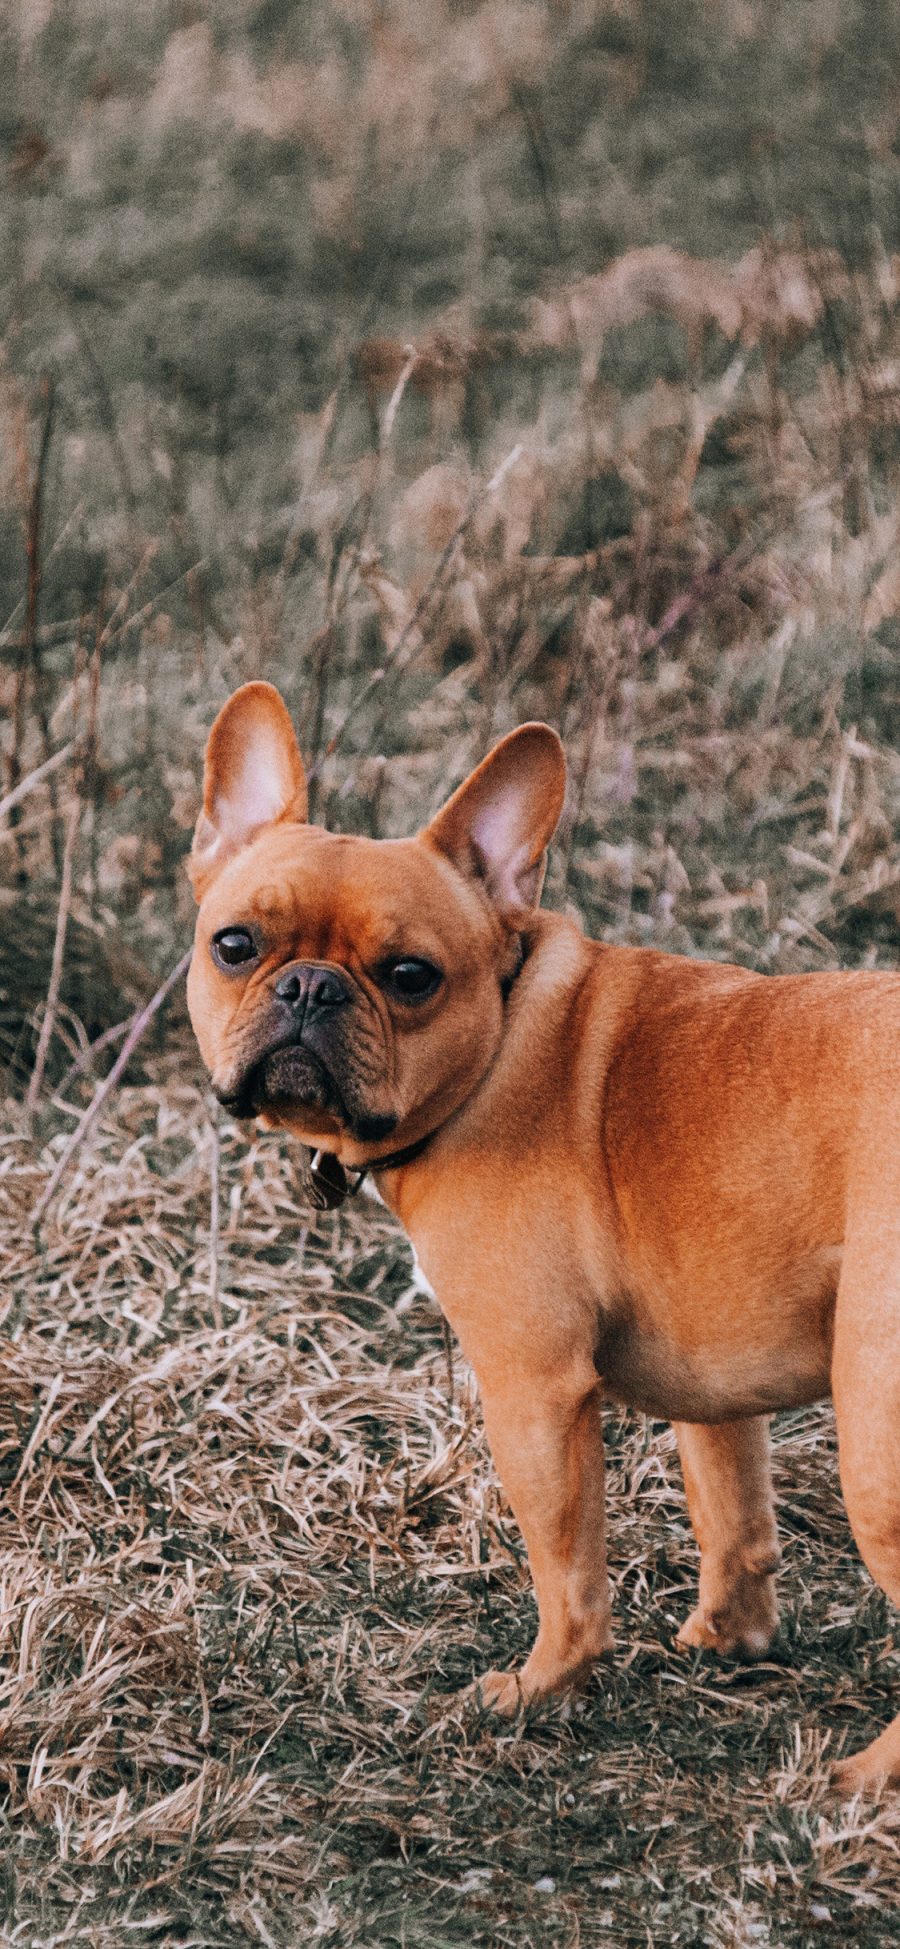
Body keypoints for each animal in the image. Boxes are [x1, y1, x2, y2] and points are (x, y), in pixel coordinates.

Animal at [184, 686, 900, 1793]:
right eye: (235, 944)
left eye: (410, 975)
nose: (309, 987)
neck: (510, 1028)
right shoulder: (715, 1376)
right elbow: (731, 1509)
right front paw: (726, 1640)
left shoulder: (533, 1386)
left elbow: (568, 1566)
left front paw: (539, 1690)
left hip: (875, 1443)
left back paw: (864, 1782)